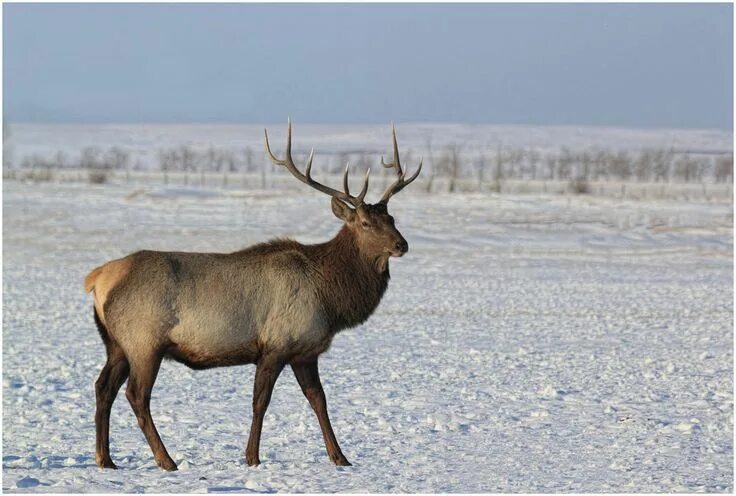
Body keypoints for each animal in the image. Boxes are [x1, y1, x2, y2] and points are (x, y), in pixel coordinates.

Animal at [84, 120, 422, 468]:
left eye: (392, 218)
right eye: (366, 223)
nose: (402, 244)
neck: (330, 299)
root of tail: (97, 279)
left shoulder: (305, 352)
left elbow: (319, 400)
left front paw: (340, 457)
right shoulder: (276, 345)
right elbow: (261, 401)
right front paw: (252, 457)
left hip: (117, 344)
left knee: (103, 388)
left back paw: (105, 458)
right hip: (144, 341)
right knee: (136, 395)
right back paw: (166, 460)